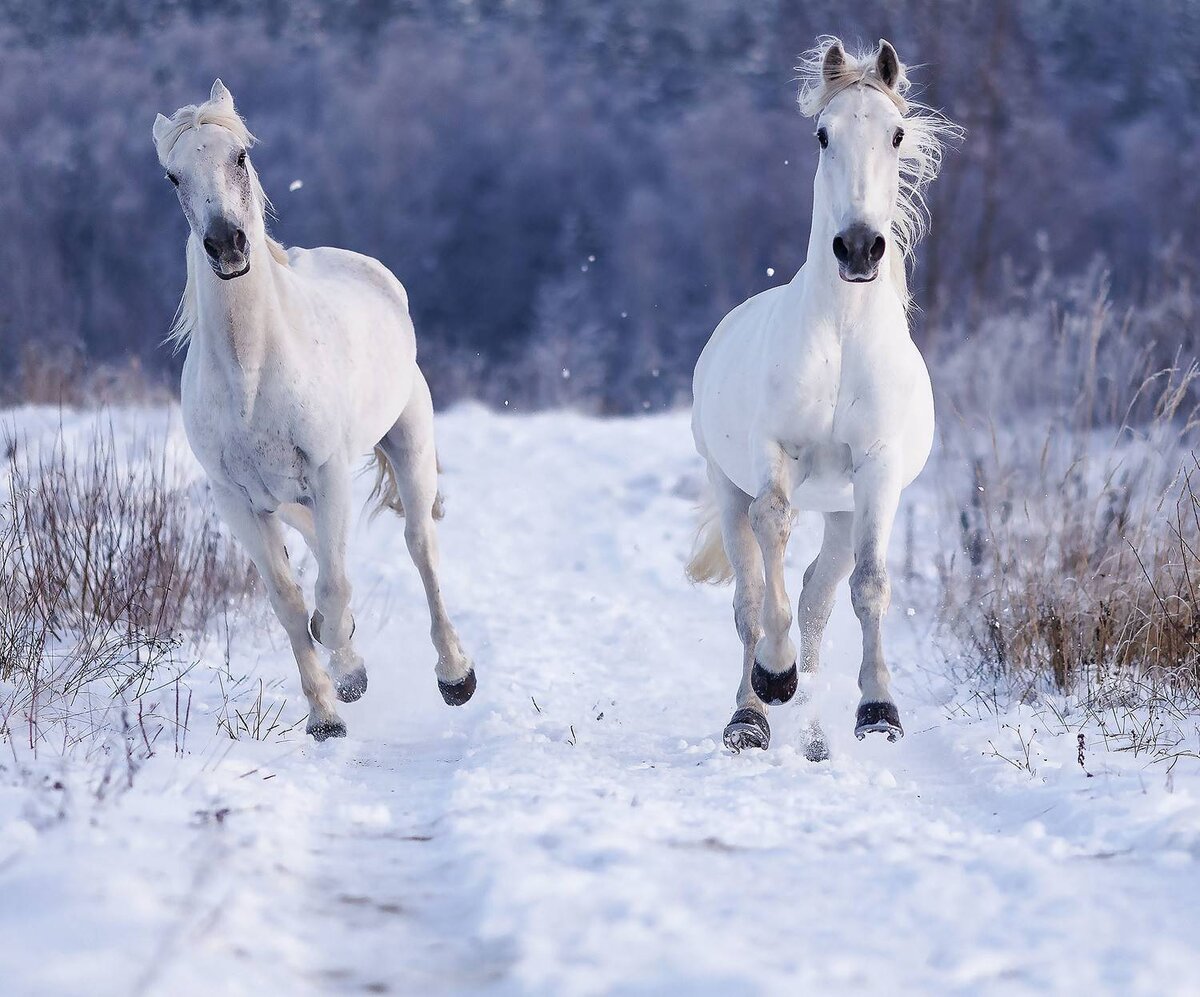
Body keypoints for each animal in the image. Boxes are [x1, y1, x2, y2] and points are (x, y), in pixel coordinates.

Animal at [154, 79, 477, 739]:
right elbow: (288, 598)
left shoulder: (327, 472)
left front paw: (349, 674)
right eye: (174, 177)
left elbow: (332, 586)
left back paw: (455, 674)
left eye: (240, 157)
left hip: (409, 441)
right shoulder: (236, 499)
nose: (227, 244)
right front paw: (326, 714)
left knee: (419, 545)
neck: (252, 374)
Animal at [691, 37, 950, 758]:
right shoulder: (773, 456)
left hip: (839, 507)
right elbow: (773, 533)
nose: (858, 247)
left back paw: (810, 729)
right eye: (822, 135)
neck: (841, 339)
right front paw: (772, 677)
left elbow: (870, 584)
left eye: (896, 133)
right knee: (751, 597)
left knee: (818, 597)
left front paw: (879, 711)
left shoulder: (878, 470)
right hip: (727, 486)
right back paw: (751, 714)